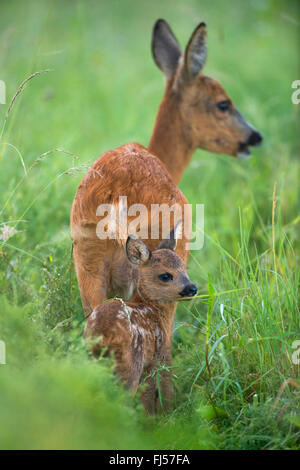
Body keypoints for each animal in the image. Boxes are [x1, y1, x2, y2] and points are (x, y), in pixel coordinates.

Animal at [85, 224, 197, 412]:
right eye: (165, 275)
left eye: (184, 268)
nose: (192, 288)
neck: (153, 311)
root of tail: (102, 336)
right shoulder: (158, 355)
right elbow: (157, 389)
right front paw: (162, 414)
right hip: (130, 364)